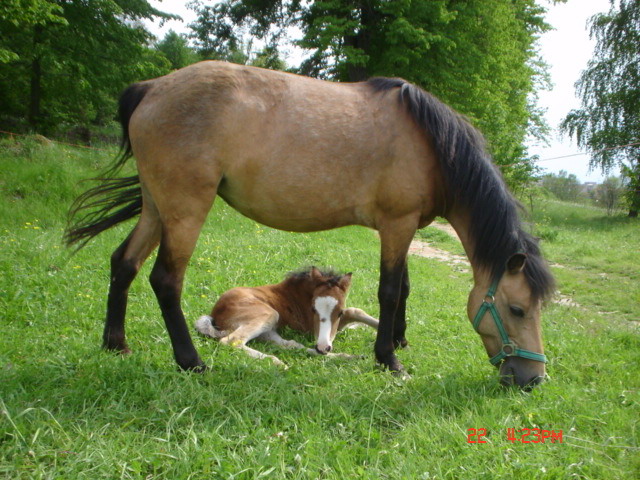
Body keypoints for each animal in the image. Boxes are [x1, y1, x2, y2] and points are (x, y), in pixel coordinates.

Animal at [192, 268, 378, 366]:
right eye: (313, 309)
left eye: (338, 311)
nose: (323, 347)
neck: (303, 293)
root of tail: (215, 314)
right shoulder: (313, 330)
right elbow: (355, 311)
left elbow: (352, 313)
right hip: (268, 315)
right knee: (231, 341)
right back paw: (276, 362)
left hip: (268, 330)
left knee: (291, 345)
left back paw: (350, 357)